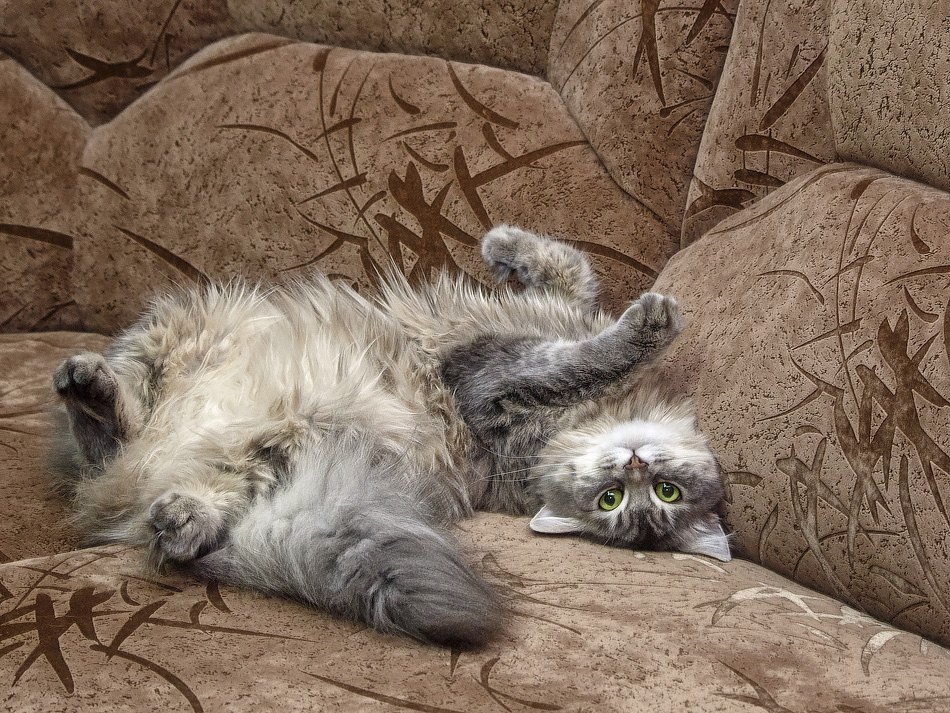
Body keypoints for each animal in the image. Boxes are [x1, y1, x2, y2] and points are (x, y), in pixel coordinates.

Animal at [52, 225, 728, 648]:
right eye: (619, 499)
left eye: (659, 496)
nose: (633, 466)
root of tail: (134, 489)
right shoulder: (521, 341)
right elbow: (569, 271)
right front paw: (502, 245)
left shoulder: (492, 380)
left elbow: (581, 354)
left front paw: (649, 323)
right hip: (171, 333)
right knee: (115, 429)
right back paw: (87, 385)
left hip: (284, 450)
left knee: (163, 489)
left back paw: (175, 516)